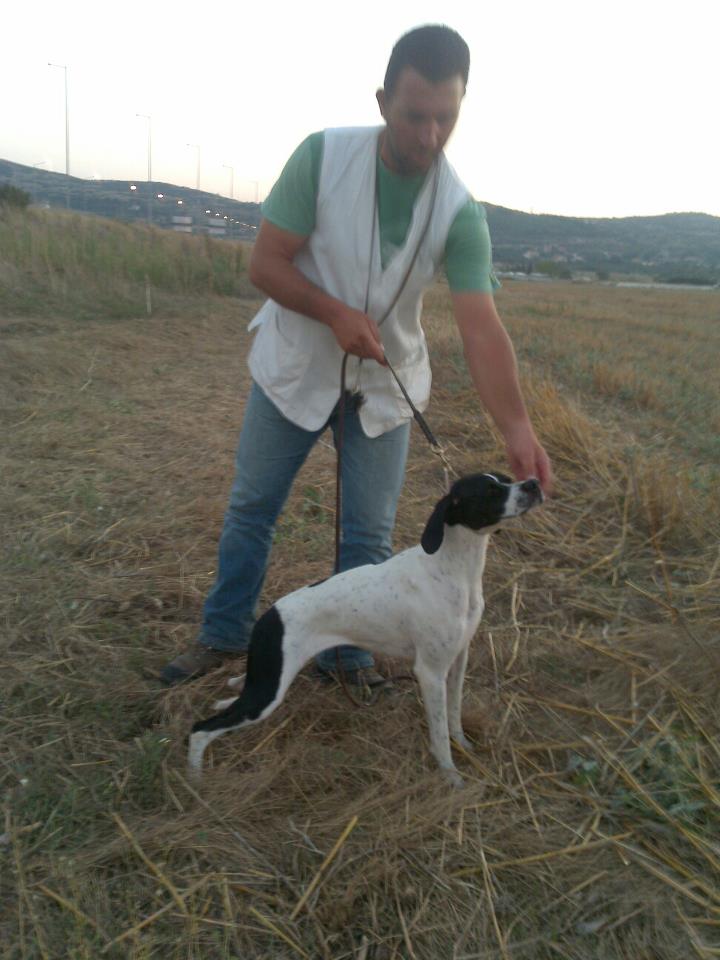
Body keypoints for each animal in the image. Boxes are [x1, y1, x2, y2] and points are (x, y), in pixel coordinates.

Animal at [188, 472, 544, 787]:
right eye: (490, 491)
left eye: (505, 478)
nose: (534, 483)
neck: (451, 570)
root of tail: (268, 618)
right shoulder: (430, 672)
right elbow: (440, 733)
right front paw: (451, 775)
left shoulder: (457, 662)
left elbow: (453, 717)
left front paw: (464, 748)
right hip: (266, 694)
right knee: (200, 729)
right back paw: (196, 783)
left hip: (264, 686)